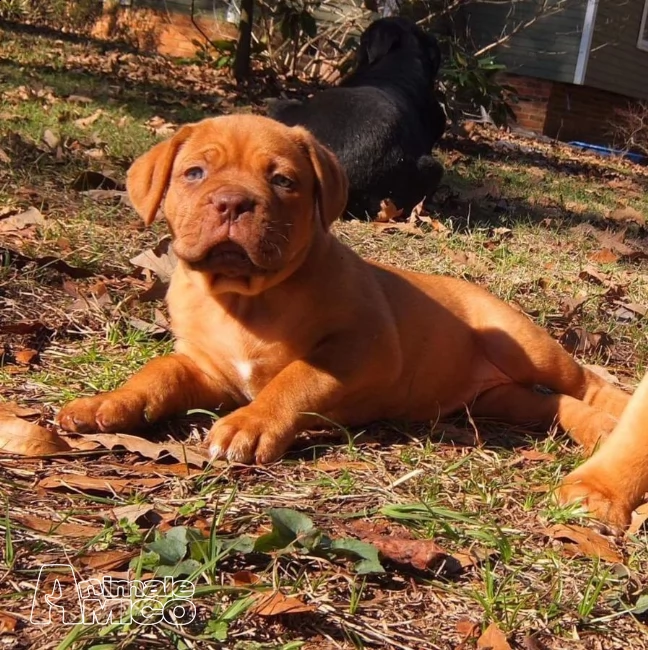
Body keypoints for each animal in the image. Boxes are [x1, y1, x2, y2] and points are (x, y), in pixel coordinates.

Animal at [58, 114, 636, 524]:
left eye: (284, 181)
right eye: (194, 173)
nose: (232, 202)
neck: (245, 300)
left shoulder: (362, 349)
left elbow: (296, 378)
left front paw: (250, 424)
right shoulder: (205, 367)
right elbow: (158, 372)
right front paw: (107, 403)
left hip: (526, 345)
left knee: (584, 382)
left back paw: (617, 418)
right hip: (495, 401)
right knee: (551, 406)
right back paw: (595, 428)